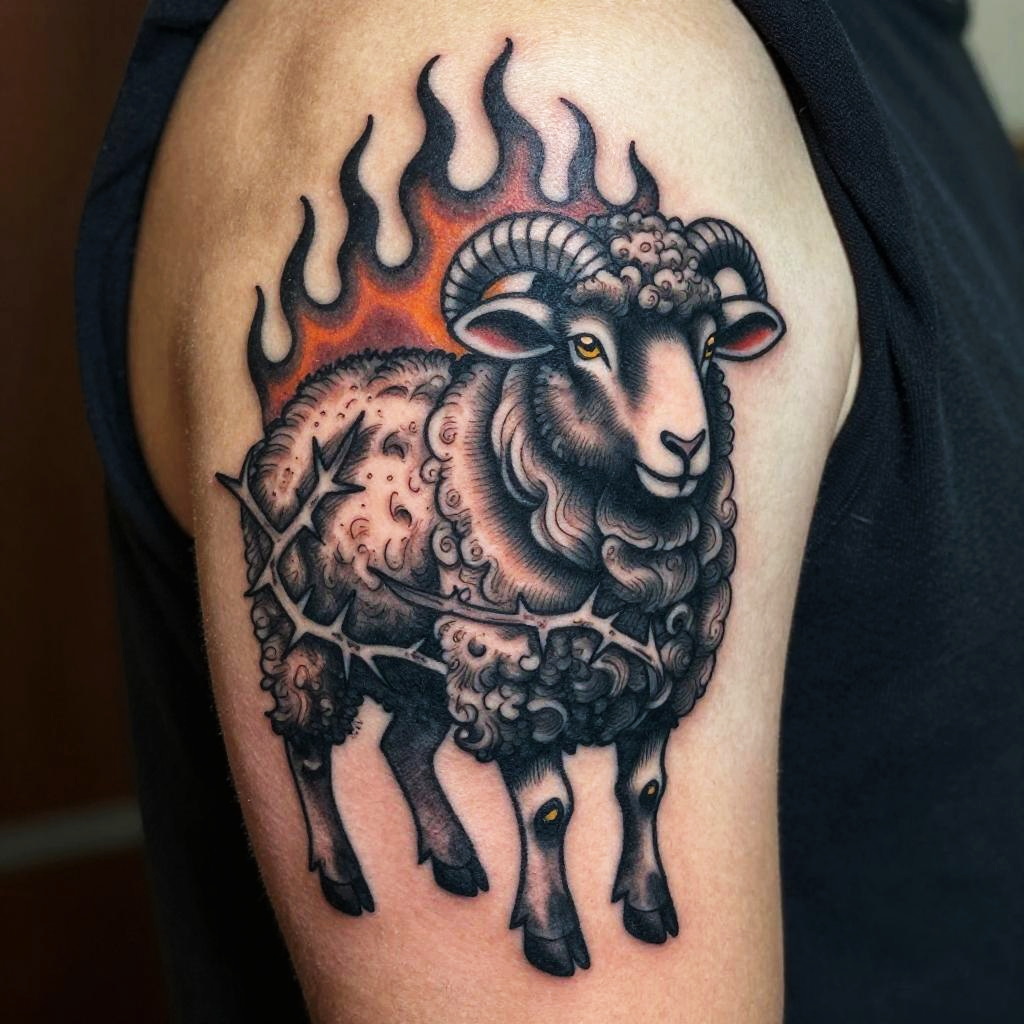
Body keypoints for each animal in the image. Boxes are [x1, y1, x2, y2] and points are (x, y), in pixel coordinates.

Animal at [219, 208, 785, 977]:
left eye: (709, 344)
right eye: (585, 344)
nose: (686, 444)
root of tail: (300, 409)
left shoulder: (663, 681)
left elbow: (644, 791)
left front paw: (647, 905)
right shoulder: (510, 680)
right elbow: (548, 809)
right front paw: (551, 933)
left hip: (421, 660)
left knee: (402, 747)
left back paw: (456, 859)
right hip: (299, 627)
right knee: (307, 748)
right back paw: (343, 875)